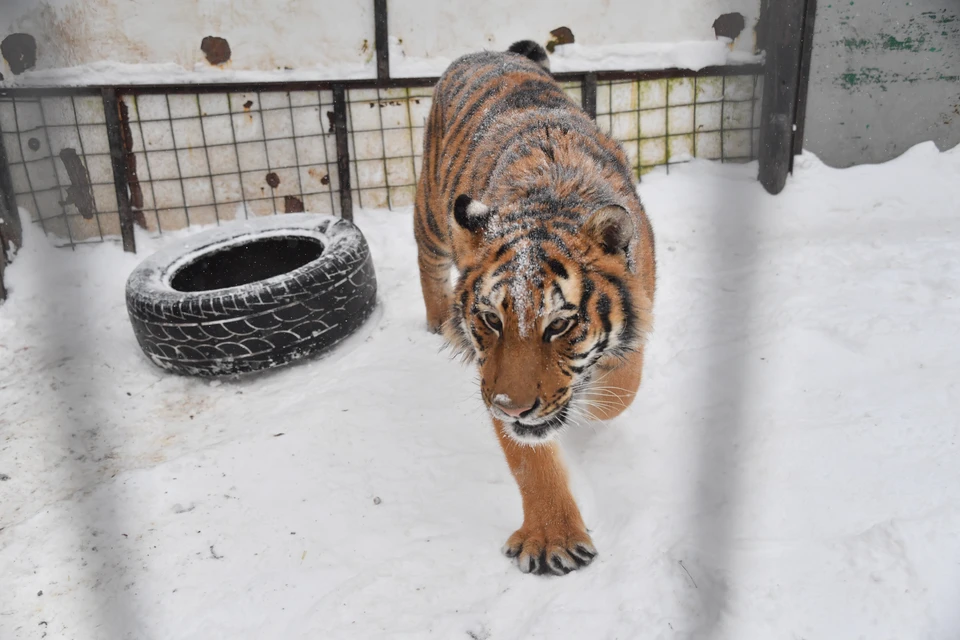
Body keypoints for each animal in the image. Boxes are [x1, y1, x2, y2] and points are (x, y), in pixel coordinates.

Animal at [416, 40, 656, 576]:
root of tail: (486, 52)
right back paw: (439, 325)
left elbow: (620, 391)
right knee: (427, 262)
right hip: (433, 217)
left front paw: (590, 408)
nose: (511, 405)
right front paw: (553, 541)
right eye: (490, 319)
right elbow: (529, 460)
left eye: (560, 325)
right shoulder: (492, 376)